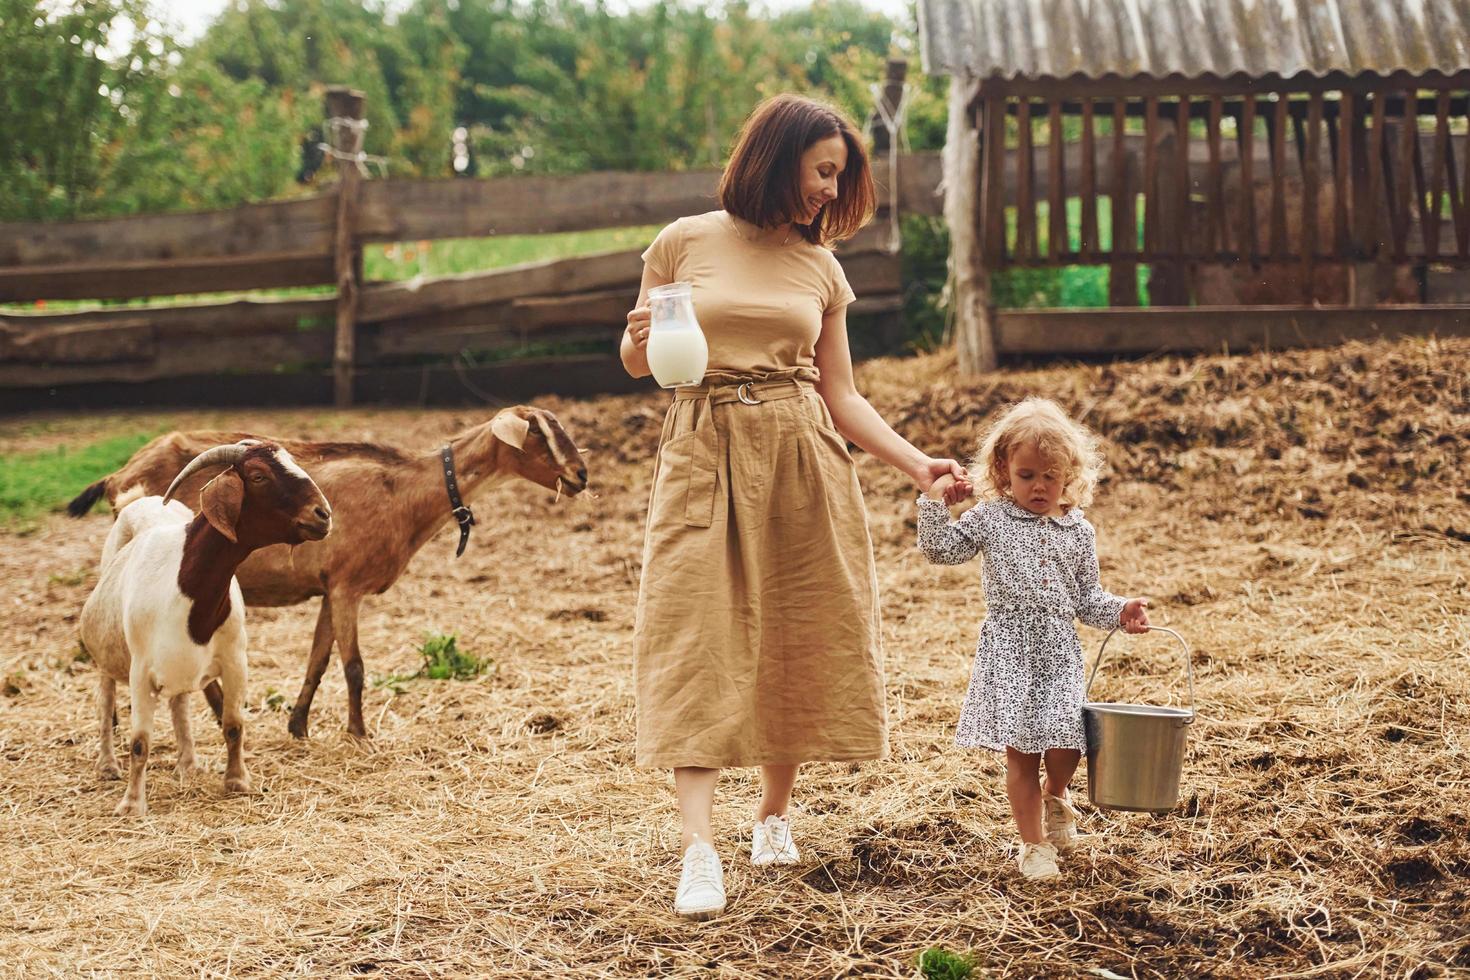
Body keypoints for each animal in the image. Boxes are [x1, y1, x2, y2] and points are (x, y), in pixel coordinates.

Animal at [67, 405, 585, 734]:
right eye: (535, 433)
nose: (580, 476)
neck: (407, 491)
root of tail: (118, 476)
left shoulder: (328, 590)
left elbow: (318, 659)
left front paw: (298, 725)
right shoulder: (347, 587)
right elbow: (353, 666)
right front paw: (359, 732)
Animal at [81, 440, 335, 816]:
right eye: (258, 476)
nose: (323, 514)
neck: (186, 587)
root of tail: (138, 501)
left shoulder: (234, 661)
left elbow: (233, 726)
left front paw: (237, 782)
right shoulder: (141, 671)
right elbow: (140, 742)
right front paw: (132, 803)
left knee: (179, 704)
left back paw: (188, 763)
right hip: (108, 658)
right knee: (106, 698)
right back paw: (107, 765)